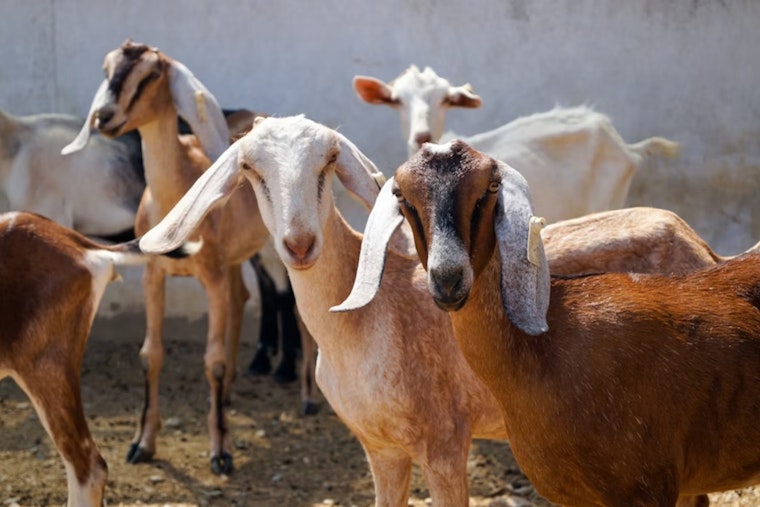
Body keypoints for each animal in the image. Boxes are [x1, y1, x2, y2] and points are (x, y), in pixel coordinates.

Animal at [62, 39, 270, 475]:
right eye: (107, 68)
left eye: (152, 73)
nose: (105, 116)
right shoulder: (153, 276)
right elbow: (150, 355)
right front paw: (142, 444)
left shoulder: (210, 278)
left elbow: (213, 361)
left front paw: (220, 452)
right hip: (232, 262)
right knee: (241, 298)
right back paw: (229, 395)